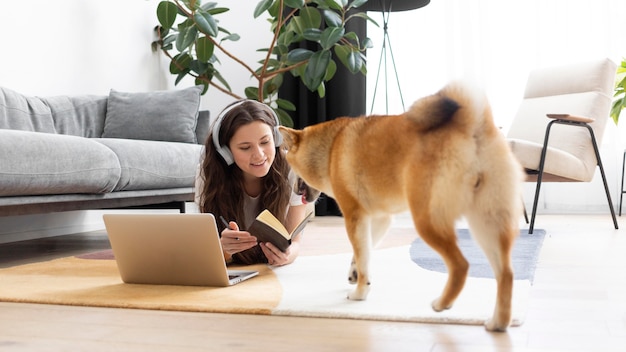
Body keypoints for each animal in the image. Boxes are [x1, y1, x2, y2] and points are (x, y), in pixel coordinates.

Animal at [278, 81, 520, 332]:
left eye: (288, 160)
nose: (288, 183)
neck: (330, 149)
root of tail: (471, 125)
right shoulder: (379, 218)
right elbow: (364, 254)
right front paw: (355, 274)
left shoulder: (354, 216)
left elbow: (362, 255)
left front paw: (360, 293)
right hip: (487, 222)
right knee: (506, 274)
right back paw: (498, 322)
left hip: (428, 220)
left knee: (461, 265)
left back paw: (442, 303)